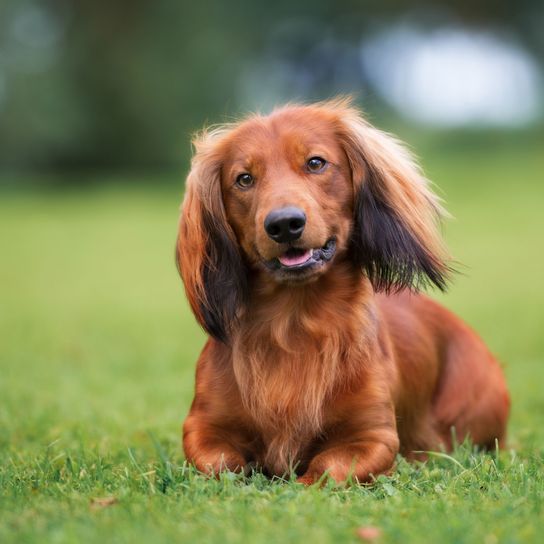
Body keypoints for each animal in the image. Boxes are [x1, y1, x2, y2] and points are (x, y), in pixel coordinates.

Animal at [175, 99, 510, 484]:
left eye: (316, 163)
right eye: (244, 178)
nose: (284, 224)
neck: (294, 322)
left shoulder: (373, 437)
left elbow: (324, 470)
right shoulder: (201, 428)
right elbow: (221, 464)